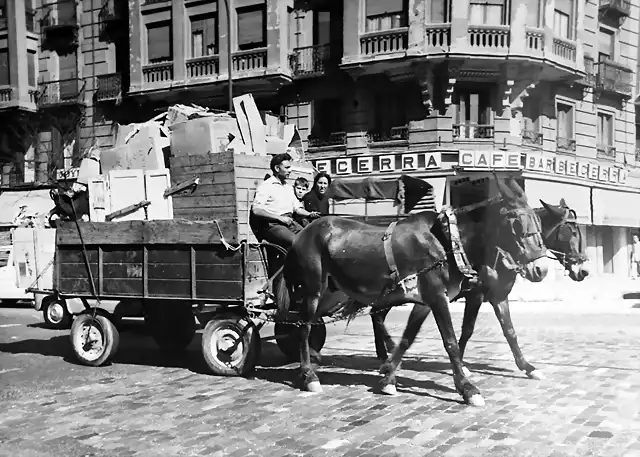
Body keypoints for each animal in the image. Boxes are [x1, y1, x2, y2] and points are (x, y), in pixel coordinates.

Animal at [276, 176, 552, 404]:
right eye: (515, 222)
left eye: (538, 220)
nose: (541, 269)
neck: (446, 242)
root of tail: (305, 232)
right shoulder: (440, 296)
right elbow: (451, 341)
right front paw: (466, 387)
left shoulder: (429, 300)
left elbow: (409, 338)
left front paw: (388, 376)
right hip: (314, 287)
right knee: (304, 325)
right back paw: (308, 374)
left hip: (333, 291)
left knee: (314, 321)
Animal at [370, 200, 592, 382]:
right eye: (572, 231)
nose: (584, 270)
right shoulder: (475, 295)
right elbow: (468, 330)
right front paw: (461, 366)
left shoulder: (499, 296)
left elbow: (509, 331)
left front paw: (527, 367)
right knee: (377, 315)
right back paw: (388, 354)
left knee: (376, 314)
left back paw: (384, 354)